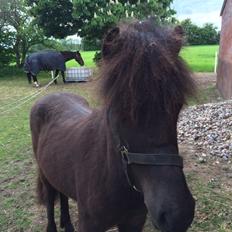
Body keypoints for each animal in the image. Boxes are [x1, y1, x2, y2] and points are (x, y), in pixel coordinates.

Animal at [29, 20, 196, 232]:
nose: (178, 215)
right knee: (51, 199)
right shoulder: (90, 224)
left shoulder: (133, 222)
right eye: (119, 107)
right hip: (45, 174)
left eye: (178, 105)